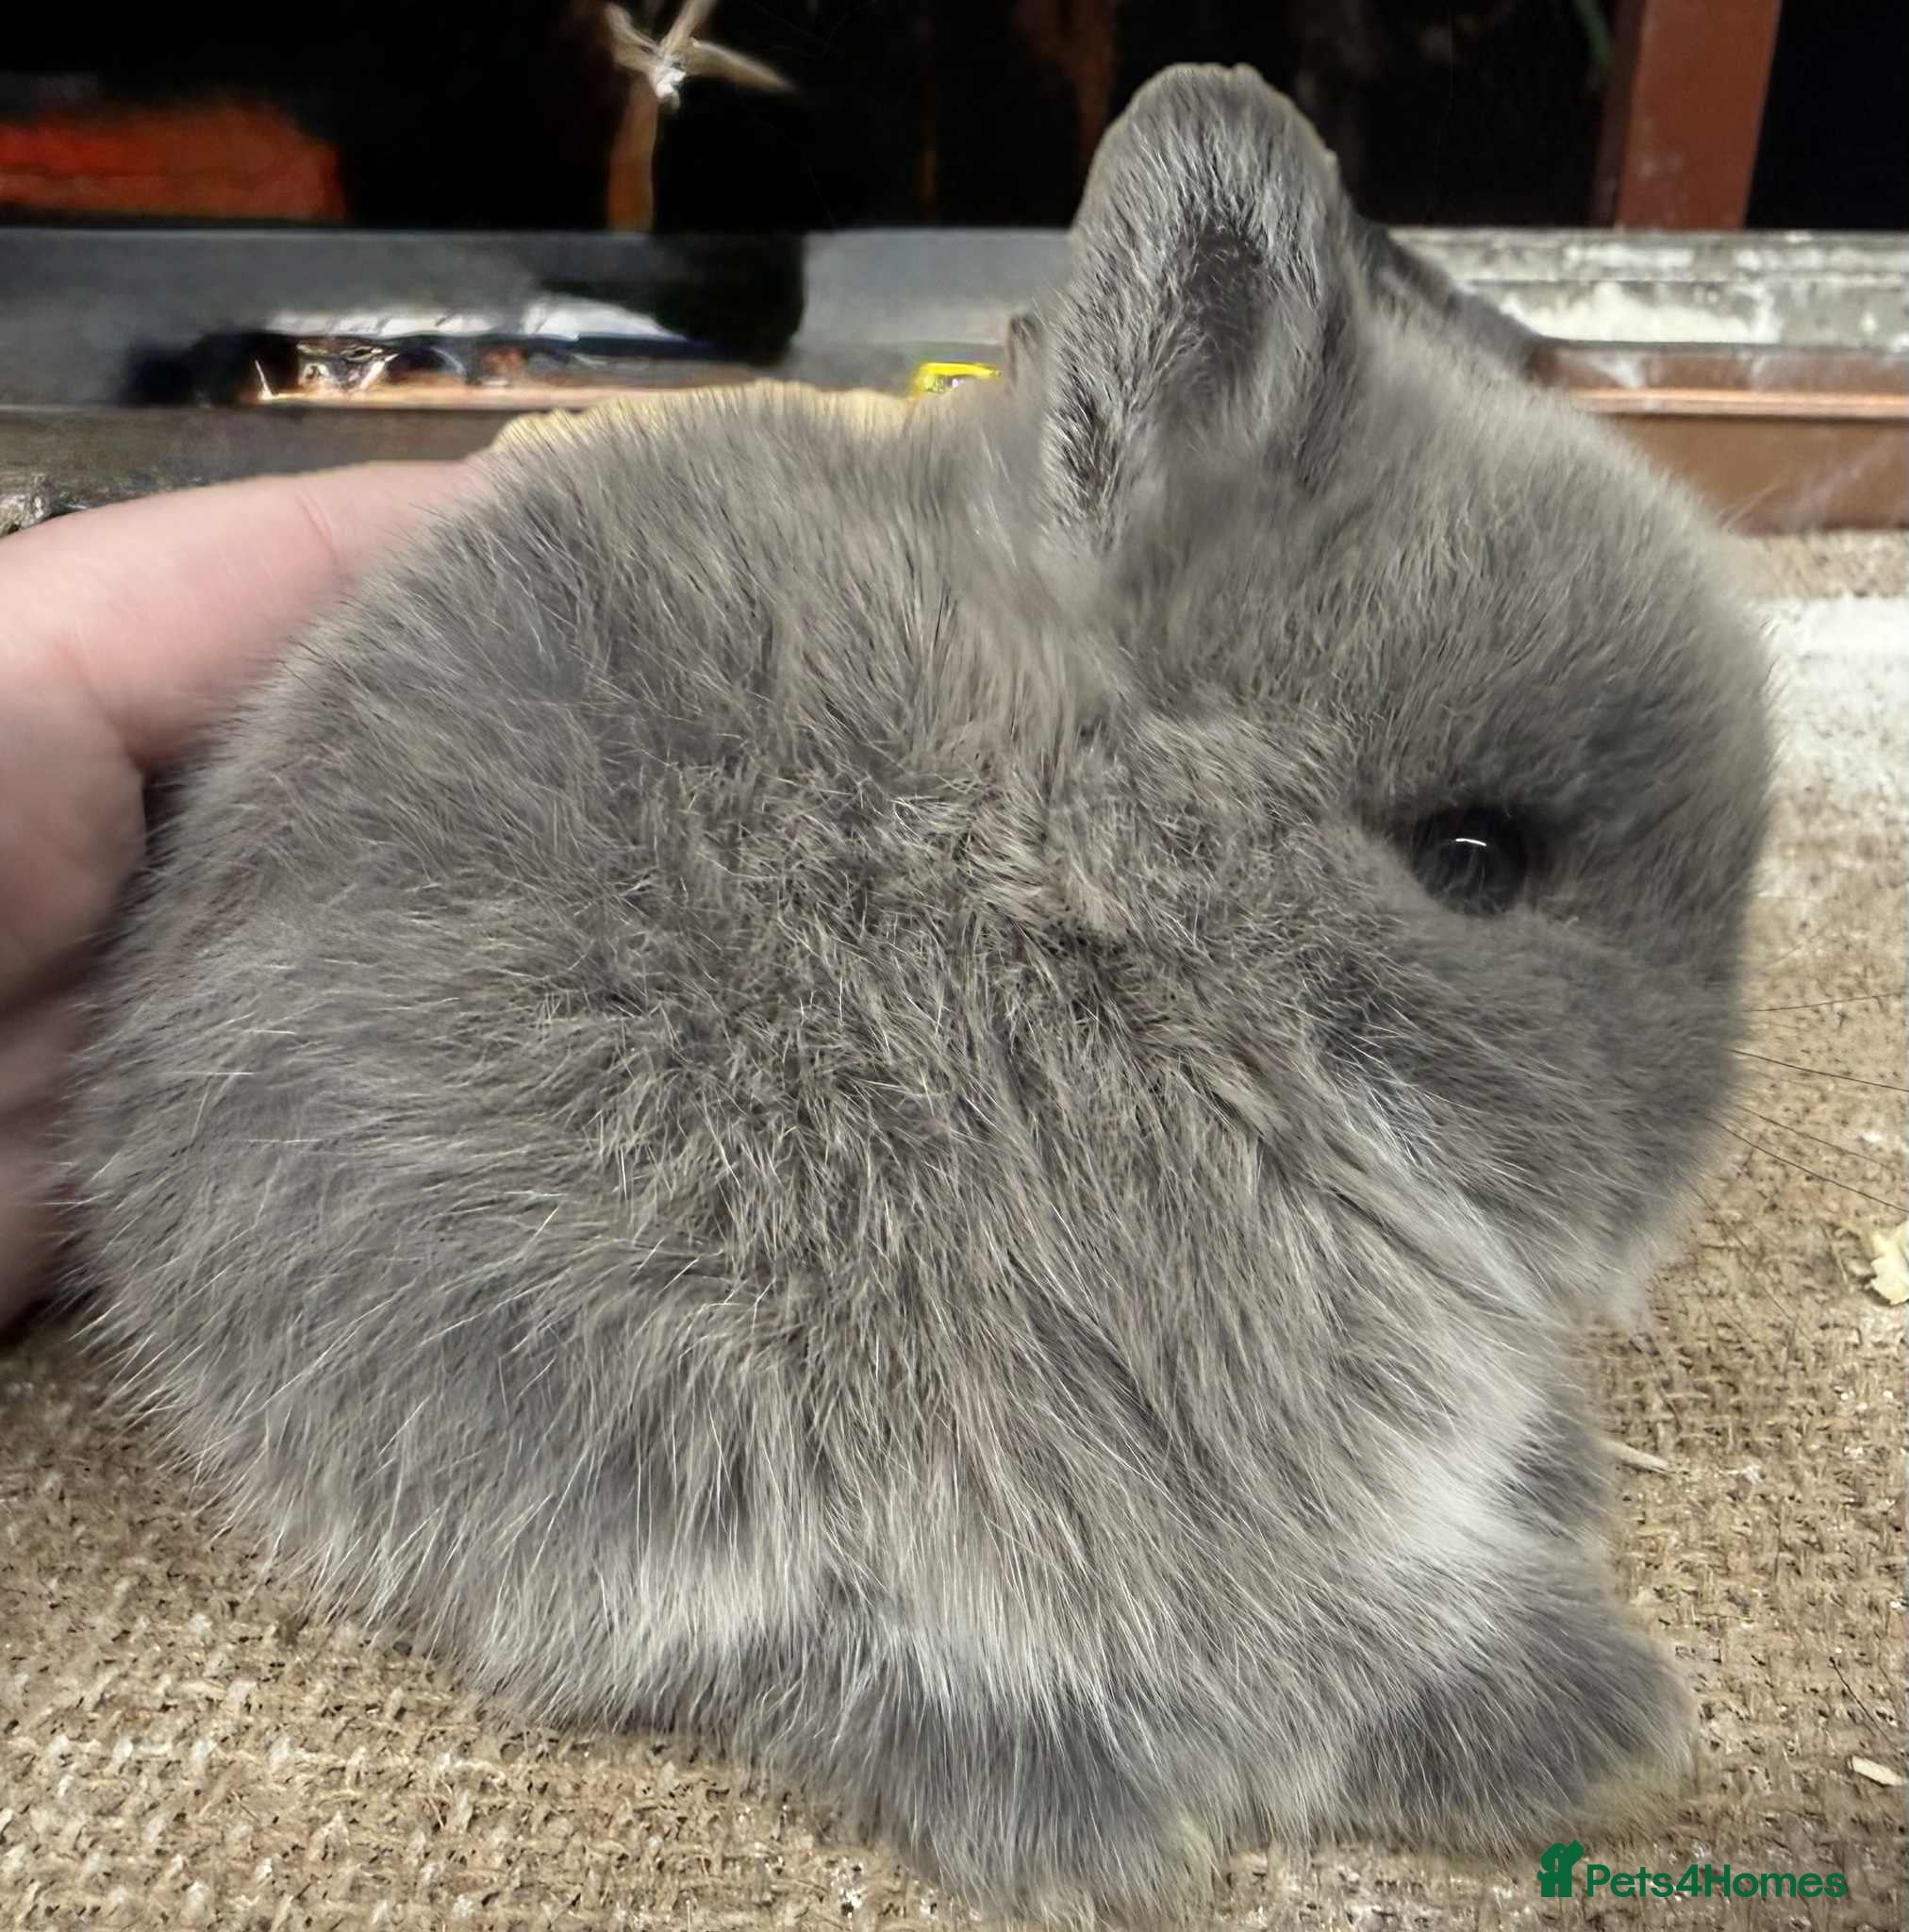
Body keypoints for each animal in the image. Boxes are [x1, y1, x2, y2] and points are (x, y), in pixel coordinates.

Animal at [65, 64, 1772, 1928]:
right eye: (1469, 856)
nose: (1659, 1195)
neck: (1086, 890)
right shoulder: (1097, 1429)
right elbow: (1242, 1621)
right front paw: (1573, 1717)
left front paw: (1554, 1484)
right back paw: (1091, 1813)